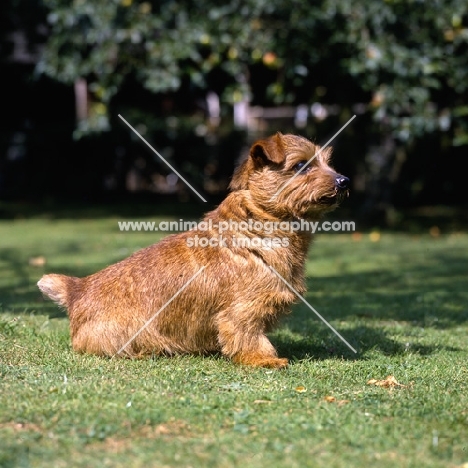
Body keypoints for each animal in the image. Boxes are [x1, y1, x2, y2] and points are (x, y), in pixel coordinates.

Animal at [38, 133, 350, 370]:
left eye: (328, 163)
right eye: (301, 165)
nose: (344, 181)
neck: (261, 220)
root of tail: (78, 289)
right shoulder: (242, 310)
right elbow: (248, 335)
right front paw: (263, 360)